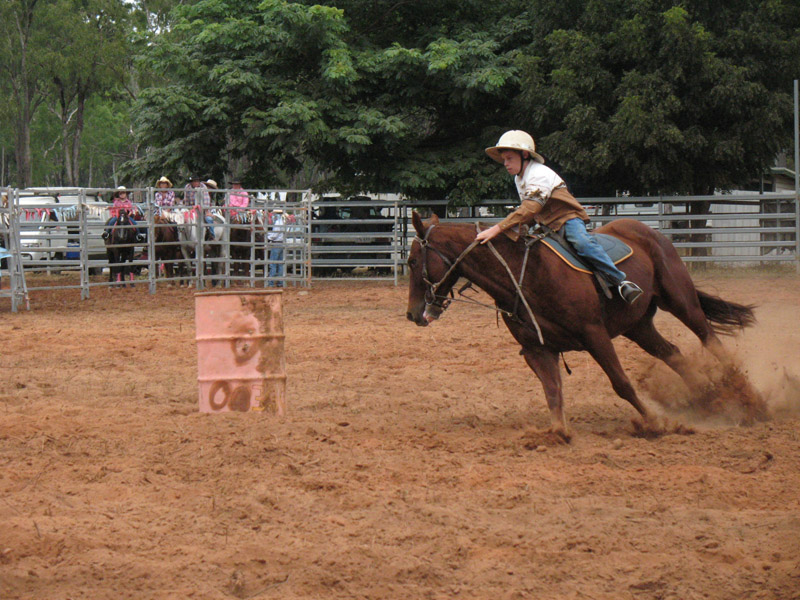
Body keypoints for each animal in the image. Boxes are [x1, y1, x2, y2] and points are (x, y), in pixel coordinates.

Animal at [406, 212, 756, 440]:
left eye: (411, 261)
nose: (412, 314)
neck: (523, 274)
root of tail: (647, 231)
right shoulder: (537, 349)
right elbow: (553, 391)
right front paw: (557, 432)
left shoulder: (594, 335)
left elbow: (621, 383)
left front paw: (655, 423)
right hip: (638, 326)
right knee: (673, 354)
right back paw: (708, 398)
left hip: (681, 301)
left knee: (709, 339)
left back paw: (746, 396)